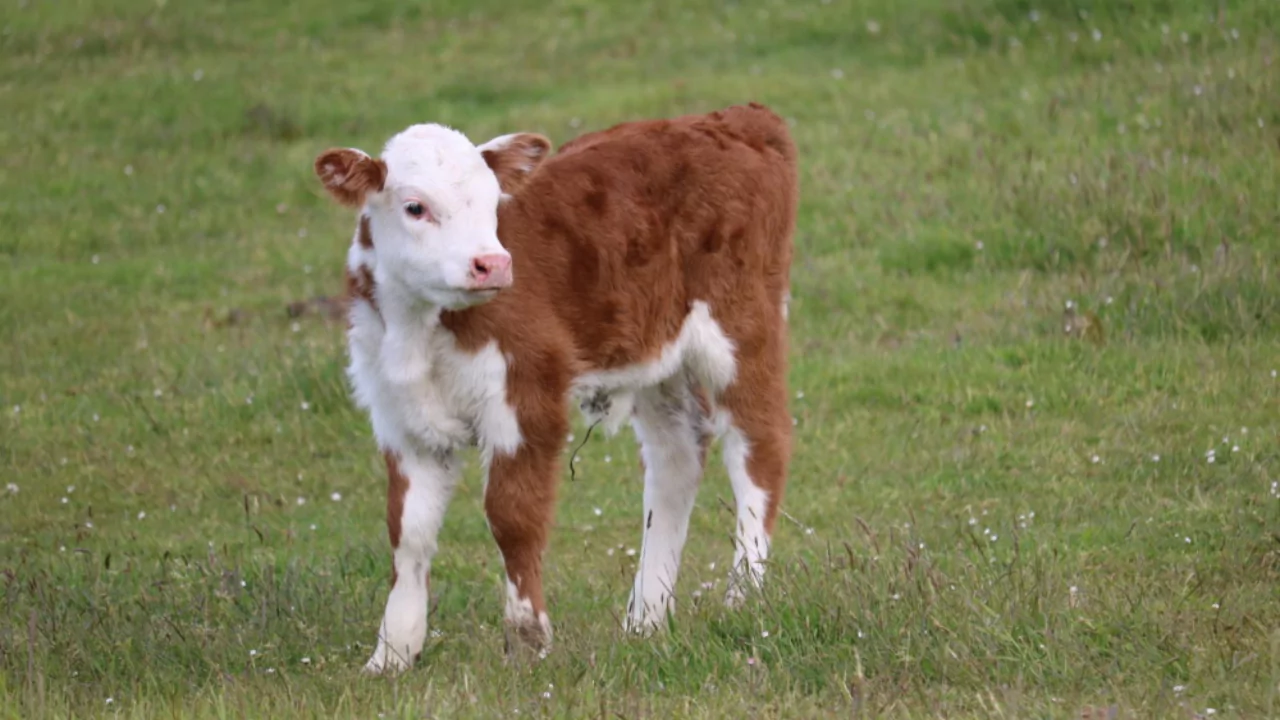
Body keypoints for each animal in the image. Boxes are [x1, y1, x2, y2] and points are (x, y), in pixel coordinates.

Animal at [313, 103, 798, 674]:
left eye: (491, 203)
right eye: (415, 207)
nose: (493, 264)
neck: (419, 330)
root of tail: (734, 117)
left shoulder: (528, 393)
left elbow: (512, 517)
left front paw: (528, 640)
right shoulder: (400, 416)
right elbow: (407, 534)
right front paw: (392, 654)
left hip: (740, 325)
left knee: (759, 446)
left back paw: (743, 597)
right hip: (659, 354)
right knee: (677, 458)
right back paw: (645, 620)